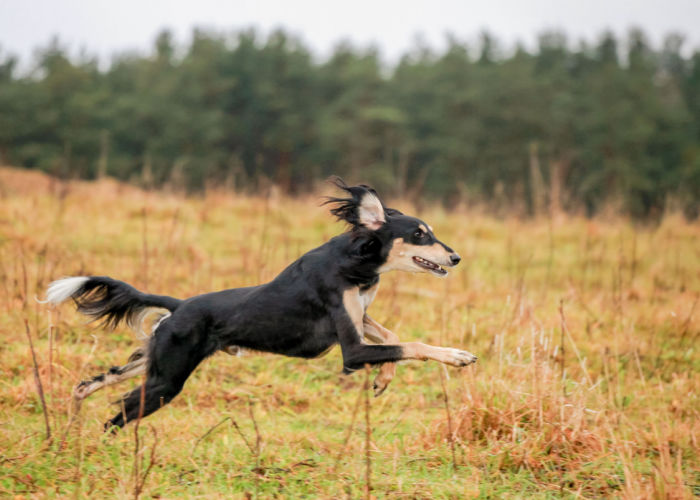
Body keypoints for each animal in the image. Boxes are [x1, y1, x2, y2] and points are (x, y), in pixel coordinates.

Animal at [46, 180, 478, 430]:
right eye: (419, 234)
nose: (456, 258)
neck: (356, 259)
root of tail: (181, 305)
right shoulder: (351, 349)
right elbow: (409, 345)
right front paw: (456, 355)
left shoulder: (361, 315)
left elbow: (392, 336)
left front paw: (385, 377)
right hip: (165, 380)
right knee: (116, 417)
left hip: (154, 361)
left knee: (89, 384)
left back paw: (71, 426)